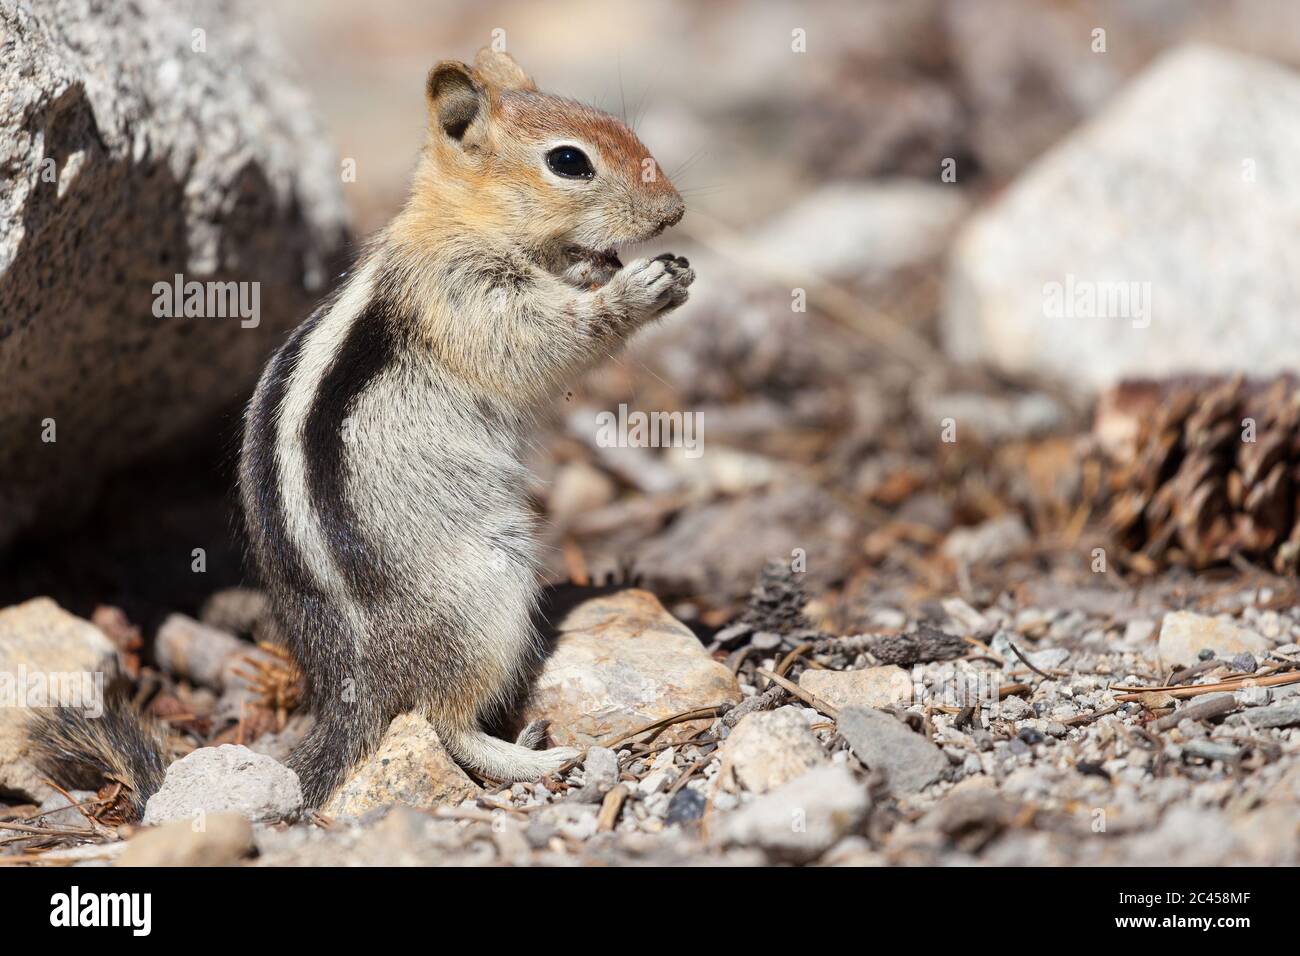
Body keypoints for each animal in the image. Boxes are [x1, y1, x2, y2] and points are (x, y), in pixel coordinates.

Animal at [30, 50, 691, 816]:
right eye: (568, 162)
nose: (674, 213)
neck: (459, 220)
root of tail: (354, 690)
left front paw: (604, 265)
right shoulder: (465, 295)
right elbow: (539, 345)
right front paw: (639, 288)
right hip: (485, 599)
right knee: (440, 718)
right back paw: (535, 756)